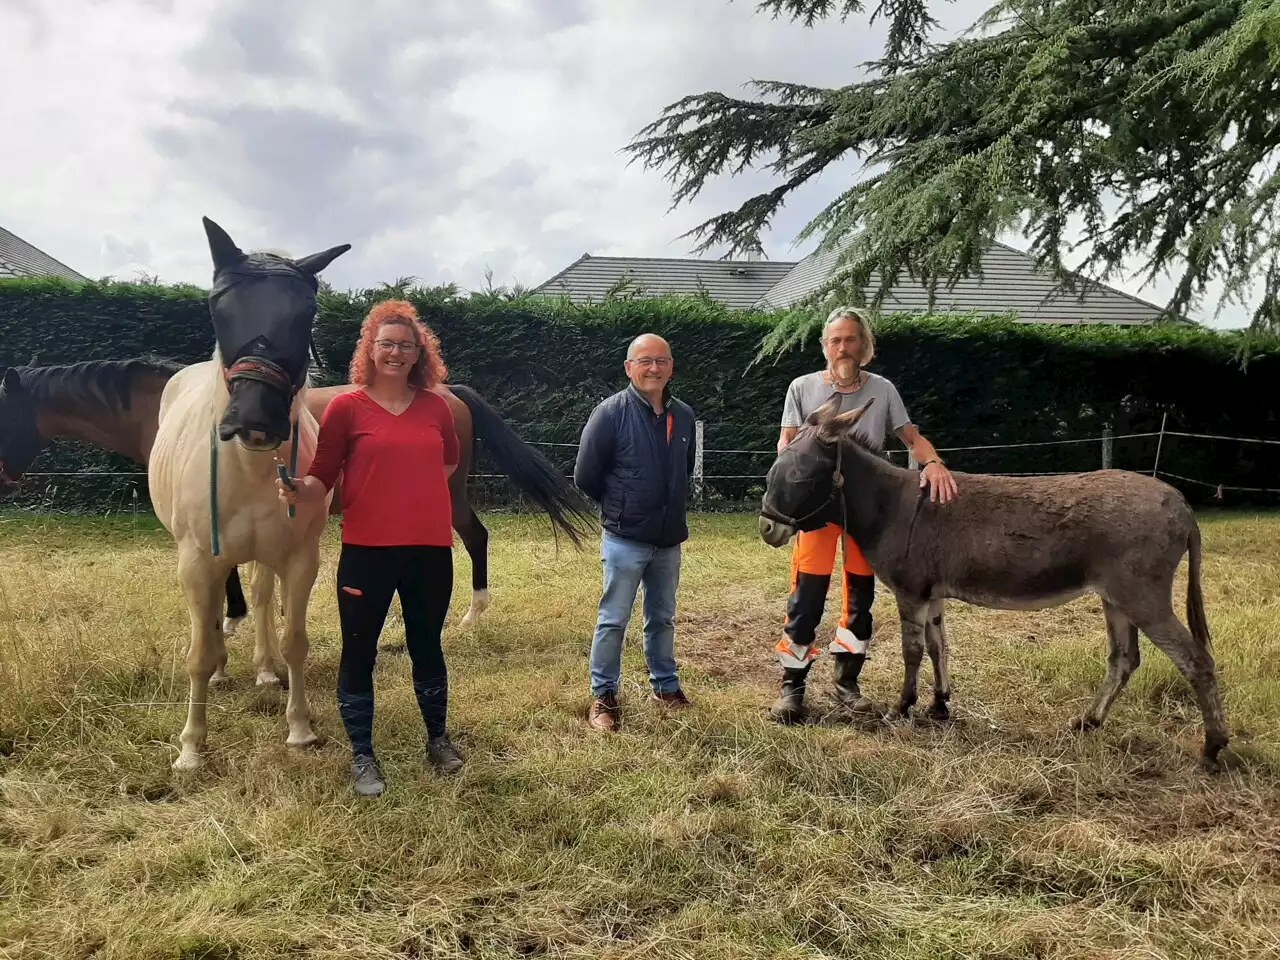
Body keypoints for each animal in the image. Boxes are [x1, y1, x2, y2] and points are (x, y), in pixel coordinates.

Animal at [0, 358, 591, 634]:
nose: (6, 476)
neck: (168, 408)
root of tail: (452, 392)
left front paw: (233, 622)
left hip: (446, 491)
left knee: (474, 537)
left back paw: (468, 617)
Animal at [148, 220, 350, 773]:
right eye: (219, 305)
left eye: (306, 312)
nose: (254, 418)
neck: (250, 468)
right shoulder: (197, 559)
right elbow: (196, 651)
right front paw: (191, 748)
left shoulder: (300, 558)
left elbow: (295, 639)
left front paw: (299, 727)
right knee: (219, 609)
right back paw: (222, 669)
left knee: (258, 598)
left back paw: (263, 667)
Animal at [757, 399, 1228, 773]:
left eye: (798, 478)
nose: (766, 529)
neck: (890, 506)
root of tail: (1182, 505)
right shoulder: (934, 594)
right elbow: (939, 646)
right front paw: (939, 704)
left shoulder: (912, 592)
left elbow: (913, 651)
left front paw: (902, 707)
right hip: (1116, 598)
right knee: (1124, 660)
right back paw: (1088, 722)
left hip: (1142, 595)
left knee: (1196, 661)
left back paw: (1212, 750)